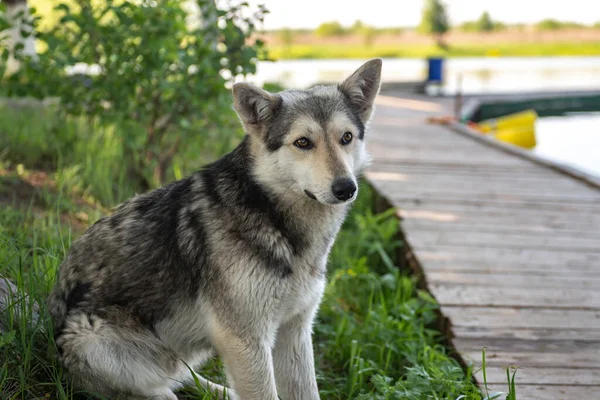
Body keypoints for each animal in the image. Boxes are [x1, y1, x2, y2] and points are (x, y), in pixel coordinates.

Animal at [48, 57, 384, 398]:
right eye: (303, 142)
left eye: (346, 138)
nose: (346, 188)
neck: (278, 223)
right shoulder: (245, 339)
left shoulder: (295, 330)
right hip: (93, 340)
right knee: (158, 389)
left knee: (188, 379)